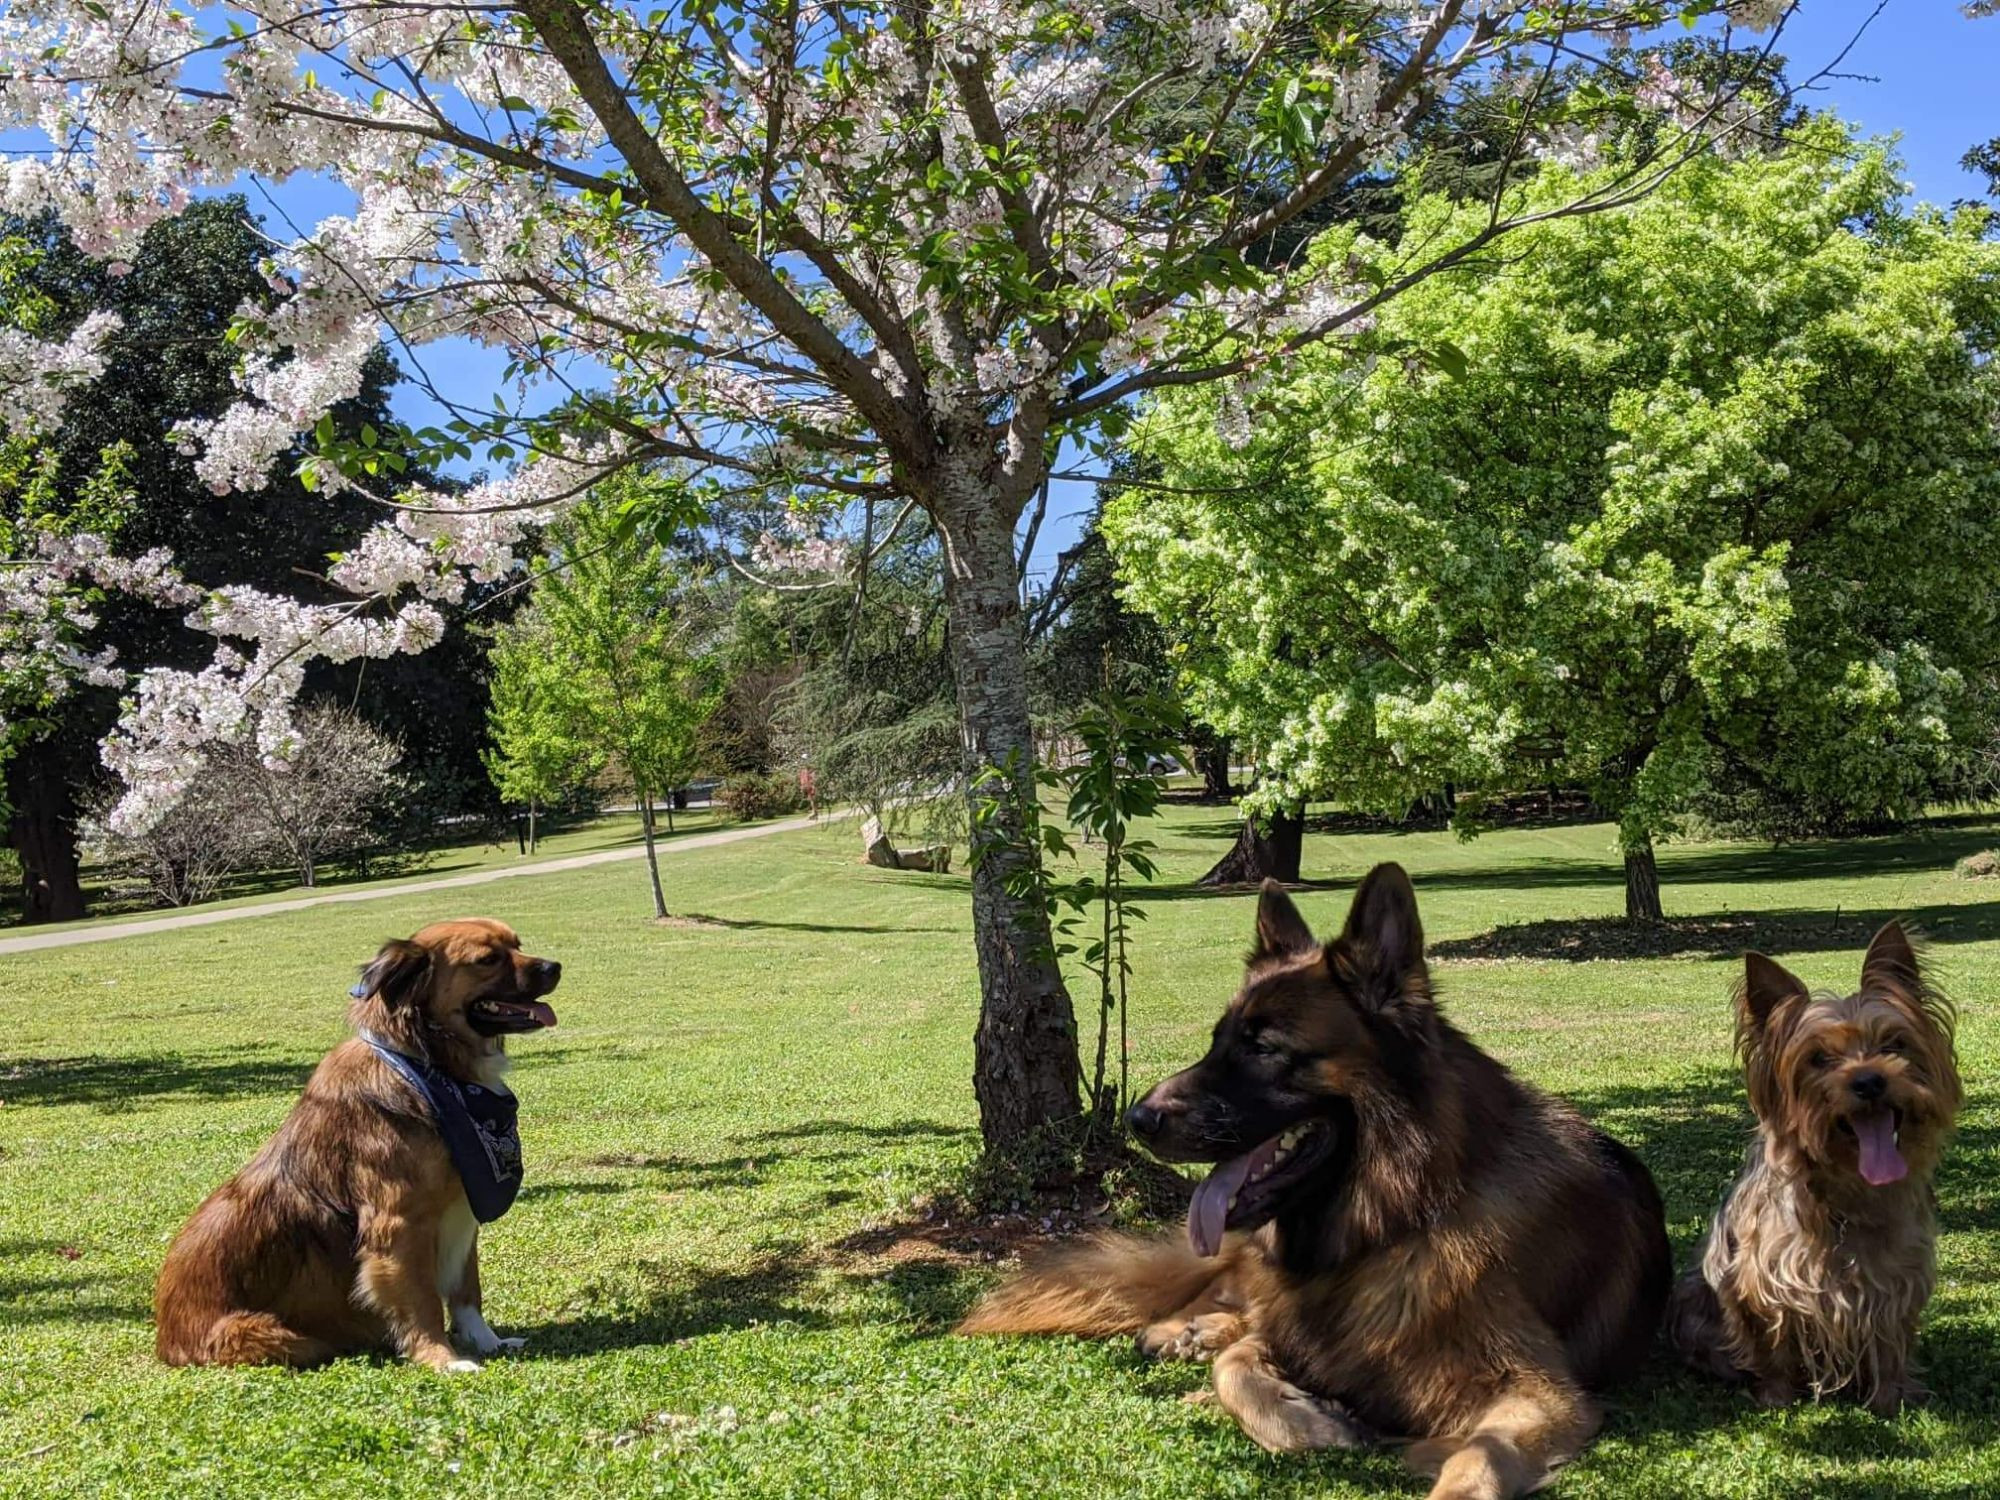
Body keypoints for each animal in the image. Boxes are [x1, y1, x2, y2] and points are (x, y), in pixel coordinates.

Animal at [153, 924, 564, 1368]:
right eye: (488, 959)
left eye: (517, 945)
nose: (555, 966)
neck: (433, 1068)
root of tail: (165, 1338)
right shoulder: (399, 1226)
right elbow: (423, 1300)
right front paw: (442, 1358)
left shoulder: (462, 1208)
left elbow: (467, 1290)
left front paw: (488, 1342)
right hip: (273, 1334)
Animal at [1664, 924, 1960, 1416]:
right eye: (1818, 1058)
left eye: (1893, 1043)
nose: (1869, 1080)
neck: (1850, 1191)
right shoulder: (1762, 1277)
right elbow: (1774, 1343)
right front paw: (1777, 1397)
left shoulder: (1900, 1275)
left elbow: (1890, 1340)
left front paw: (1891, 1397)